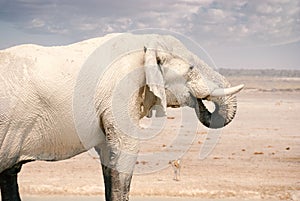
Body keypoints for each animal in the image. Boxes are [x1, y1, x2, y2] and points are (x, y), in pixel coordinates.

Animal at [0, 33, 244, 201]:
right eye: (191, 68)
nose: (200, 103)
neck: (143, 43)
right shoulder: (120, 90)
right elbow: (126, 151)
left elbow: (110, 155)